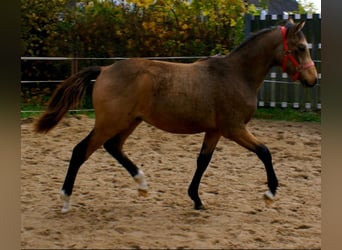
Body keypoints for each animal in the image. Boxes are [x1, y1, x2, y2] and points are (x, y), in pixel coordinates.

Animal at [34, 19, 318, 213]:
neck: (236, 74)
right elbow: (265, 152)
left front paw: (196, 199)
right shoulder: (234, 129)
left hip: (129, 121)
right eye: (300, 48)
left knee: (113, 147)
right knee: (80, 151)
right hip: (110, 122)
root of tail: (104, 70)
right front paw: (270, 193)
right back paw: (66, 199)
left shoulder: (214, 131)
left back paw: (142, 185)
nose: (313, 79)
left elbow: (203, 161)